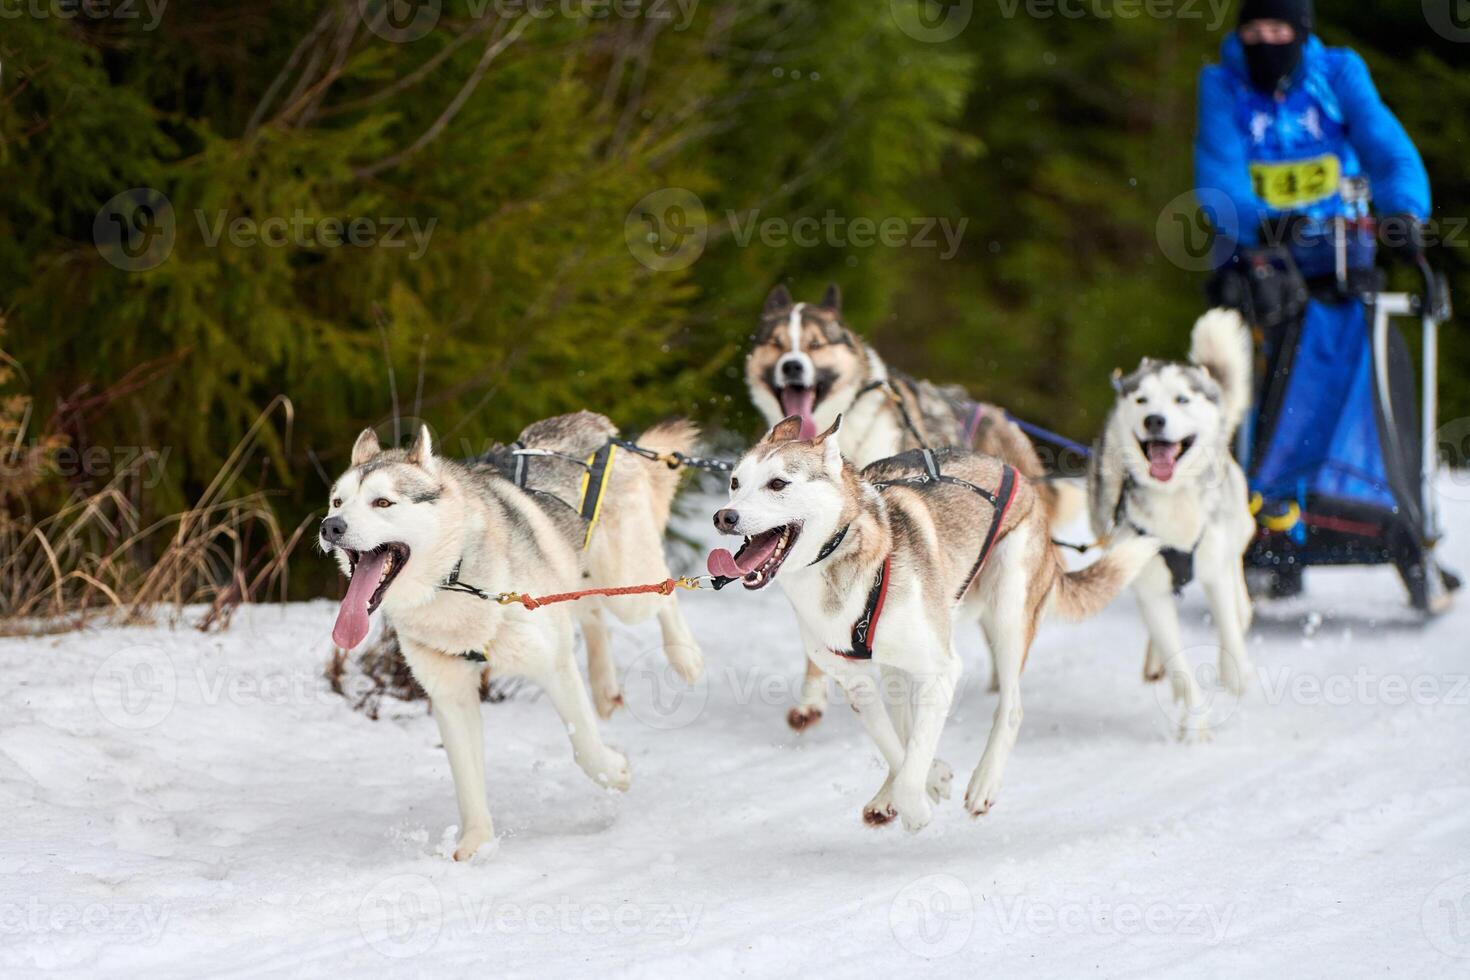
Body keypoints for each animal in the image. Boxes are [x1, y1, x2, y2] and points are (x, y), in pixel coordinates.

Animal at [326, 414, 699, 858]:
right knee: (592, 612)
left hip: (628, 587)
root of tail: (597, 426)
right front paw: (476, 845)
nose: (330, 527)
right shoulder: (451, 697)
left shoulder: (554, 666)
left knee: (664, 588)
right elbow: (468, 783)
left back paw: (685, 656)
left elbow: (585, 749)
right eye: (337, 502)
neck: (456, 580)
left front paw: (616, 771)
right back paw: (606, 686)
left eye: (382, 503)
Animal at [711, 417, 1158, 834]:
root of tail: (1015, 473)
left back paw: (983, 783)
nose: (724, 516)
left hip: (1008, 612)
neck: (843, 559)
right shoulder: (857, 683)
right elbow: (898, 745)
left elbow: (913, 763)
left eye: (778, 483)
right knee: (907, 724)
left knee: (1011, 708)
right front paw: (930, 777)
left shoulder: (942, 668)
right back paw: (895, 791)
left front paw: (916, 806)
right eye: (735, 482)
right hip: (902, 663)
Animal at [1087, 312, 1258, 734]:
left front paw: (1234, 673)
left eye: (1182, 399)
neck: (1173, 500)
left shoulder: (1213, 566)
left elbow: (1228, 628)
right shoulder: (1148, 583)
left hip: (1235, 528)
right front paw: (1194, 727)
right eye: (1141, 400)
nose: (1154, 420)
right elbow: (1177, 659)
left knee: (1238, 592)